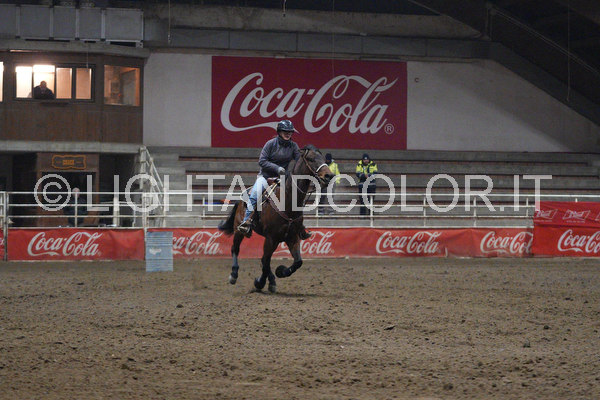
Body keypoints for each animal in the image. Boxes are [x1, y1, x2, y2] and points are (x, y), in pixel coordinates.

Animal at [218, 145, 334, 293]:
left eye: (324, 158)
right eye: (311, 159)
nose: (329, 176)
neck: (287, 200)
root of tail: (241, 199)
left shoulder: (292, 237)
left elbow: (297, 262)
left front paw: (280, 272)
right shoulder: (271, 238)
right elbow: (266, 261)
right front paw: (261, 282)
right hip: (239, 230)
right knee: (236, 249)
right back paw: (234, 274)